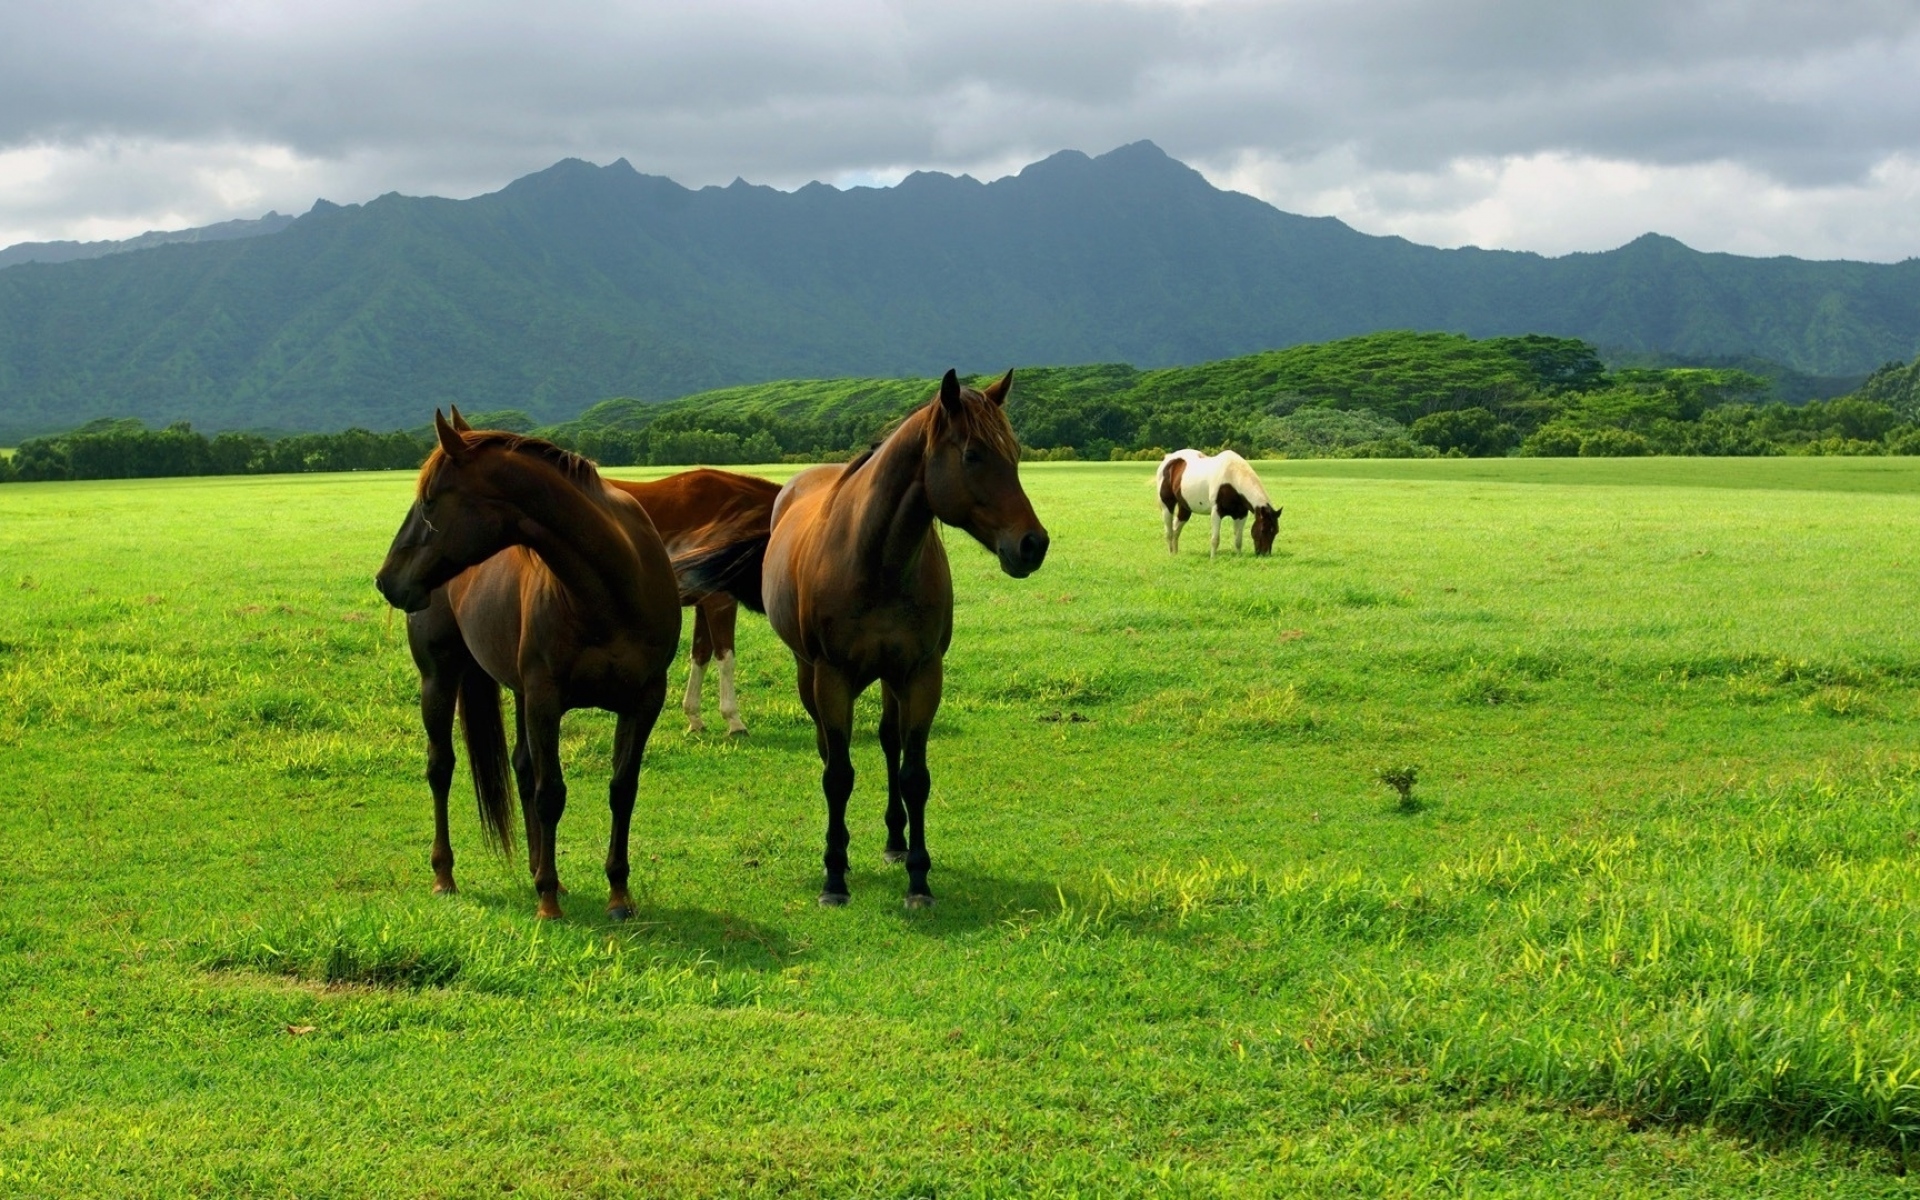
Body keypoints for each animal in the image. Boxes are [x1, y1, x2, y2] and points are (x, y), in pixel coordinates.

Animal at [374, 409, 682, 921]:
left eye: (430, 502)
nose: (386, 581)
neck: (612, 589)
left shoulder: (643, 701)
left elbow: (622, 789)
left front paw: (618, 894)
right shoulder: (545, 699)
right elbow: (550, 793)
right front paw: (548, 902)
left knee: (520, 766)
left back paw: (539, 865)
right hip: (440, 679)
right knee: (441, 768)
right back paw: (446, 875)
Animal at [686, 369, 1048, 909]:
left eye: (1016, 453)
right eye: (972, 455)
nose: (1032, 544)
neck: (876, 560)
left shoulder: (921, 674)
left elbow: (914, 775)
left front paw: (918, 878)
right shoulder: (832, 678)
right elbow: (838, 775)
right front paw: (834, 876)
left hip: (890, 679)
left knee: (888, 741)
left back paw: (895, 841)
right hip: (809, 674)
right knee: (827, 749)